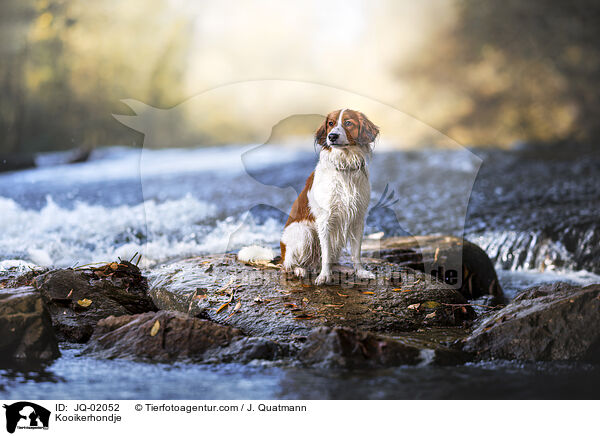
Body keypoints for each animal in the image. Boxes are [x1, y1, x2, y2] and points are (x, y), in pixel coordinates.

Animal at [280, 109, 380, 284]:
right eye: (330, 123)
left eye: (348, 123)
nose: (332, 136)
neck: (345, 166)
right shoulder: (325, 220)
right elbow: (325, 253)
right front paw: (324, 276)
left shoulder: (357, 218)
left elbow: (356, 252)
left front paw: (360, 272)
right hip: (303, 231)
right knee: (288, 265)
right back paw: (300, 270)